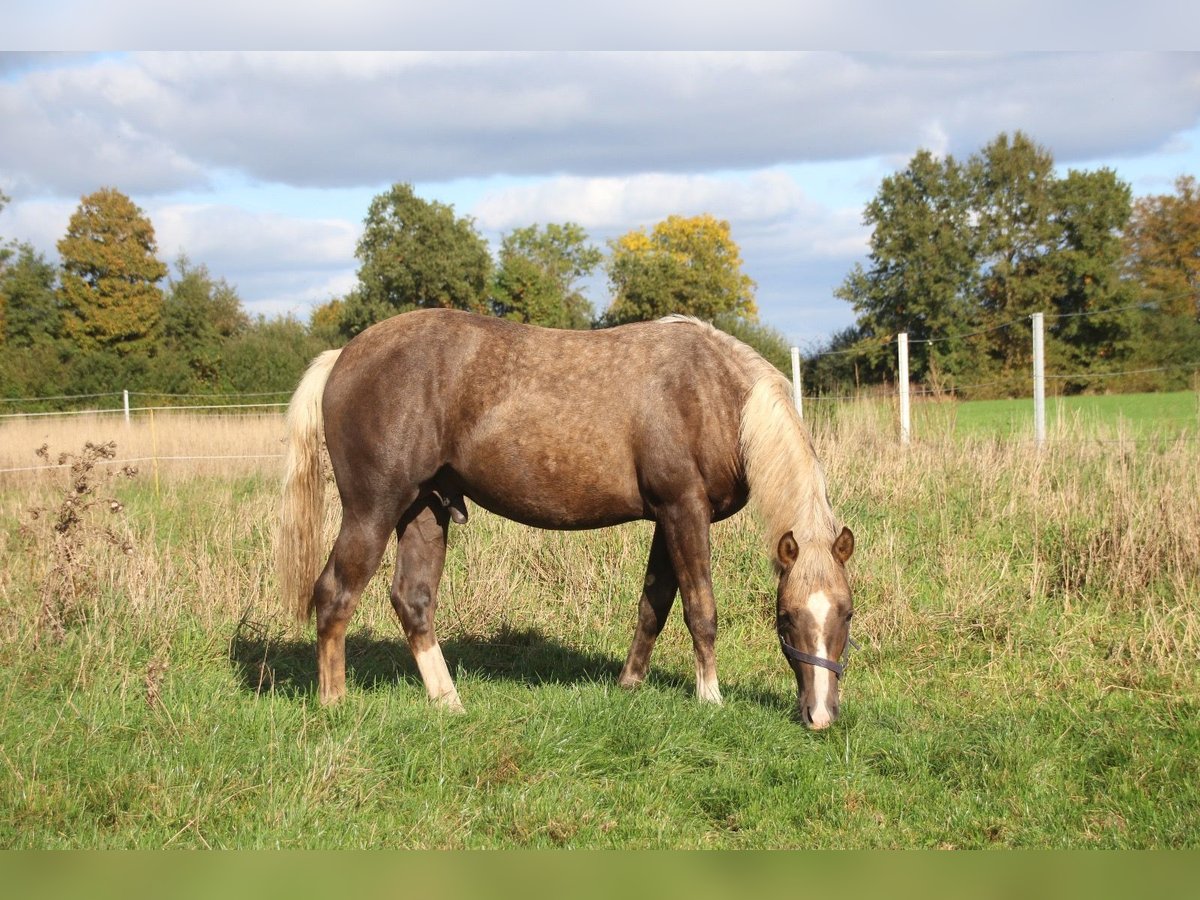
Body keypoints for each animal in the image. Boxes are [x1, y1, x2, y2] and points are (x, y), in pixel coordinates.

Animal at [278, 309, 856, 729]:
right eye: (786, 618)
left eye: (846, 614)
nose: (821, 715)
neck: (715, 395)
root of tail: (342, 356)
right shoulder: (684, 511)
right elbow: (700, 610)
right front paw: (709, 697)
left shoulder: (666, 519)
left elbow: (653, 606)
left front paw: (629, 684)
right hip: (372, 511)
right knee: (334, 594)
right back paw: (334, 704)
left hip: (425, 511)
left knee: (413, 600)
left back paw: (450, 703)